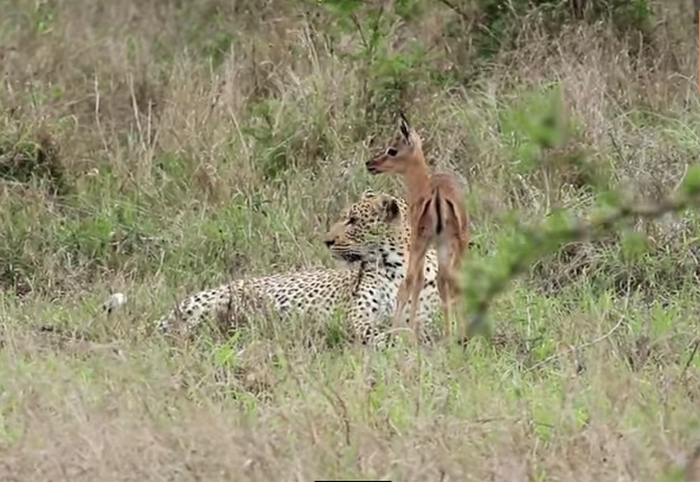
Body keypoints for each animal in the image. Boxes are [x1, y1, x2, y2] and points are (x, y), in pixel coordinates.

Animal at [155, 189, 440, 346]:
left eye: (353, 220)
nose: (327, 241)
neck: (399, 266)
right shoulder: (358, 316)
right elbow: (375, 330)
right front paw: (398, 340)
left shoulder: (427, 317)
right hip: (219, 303)